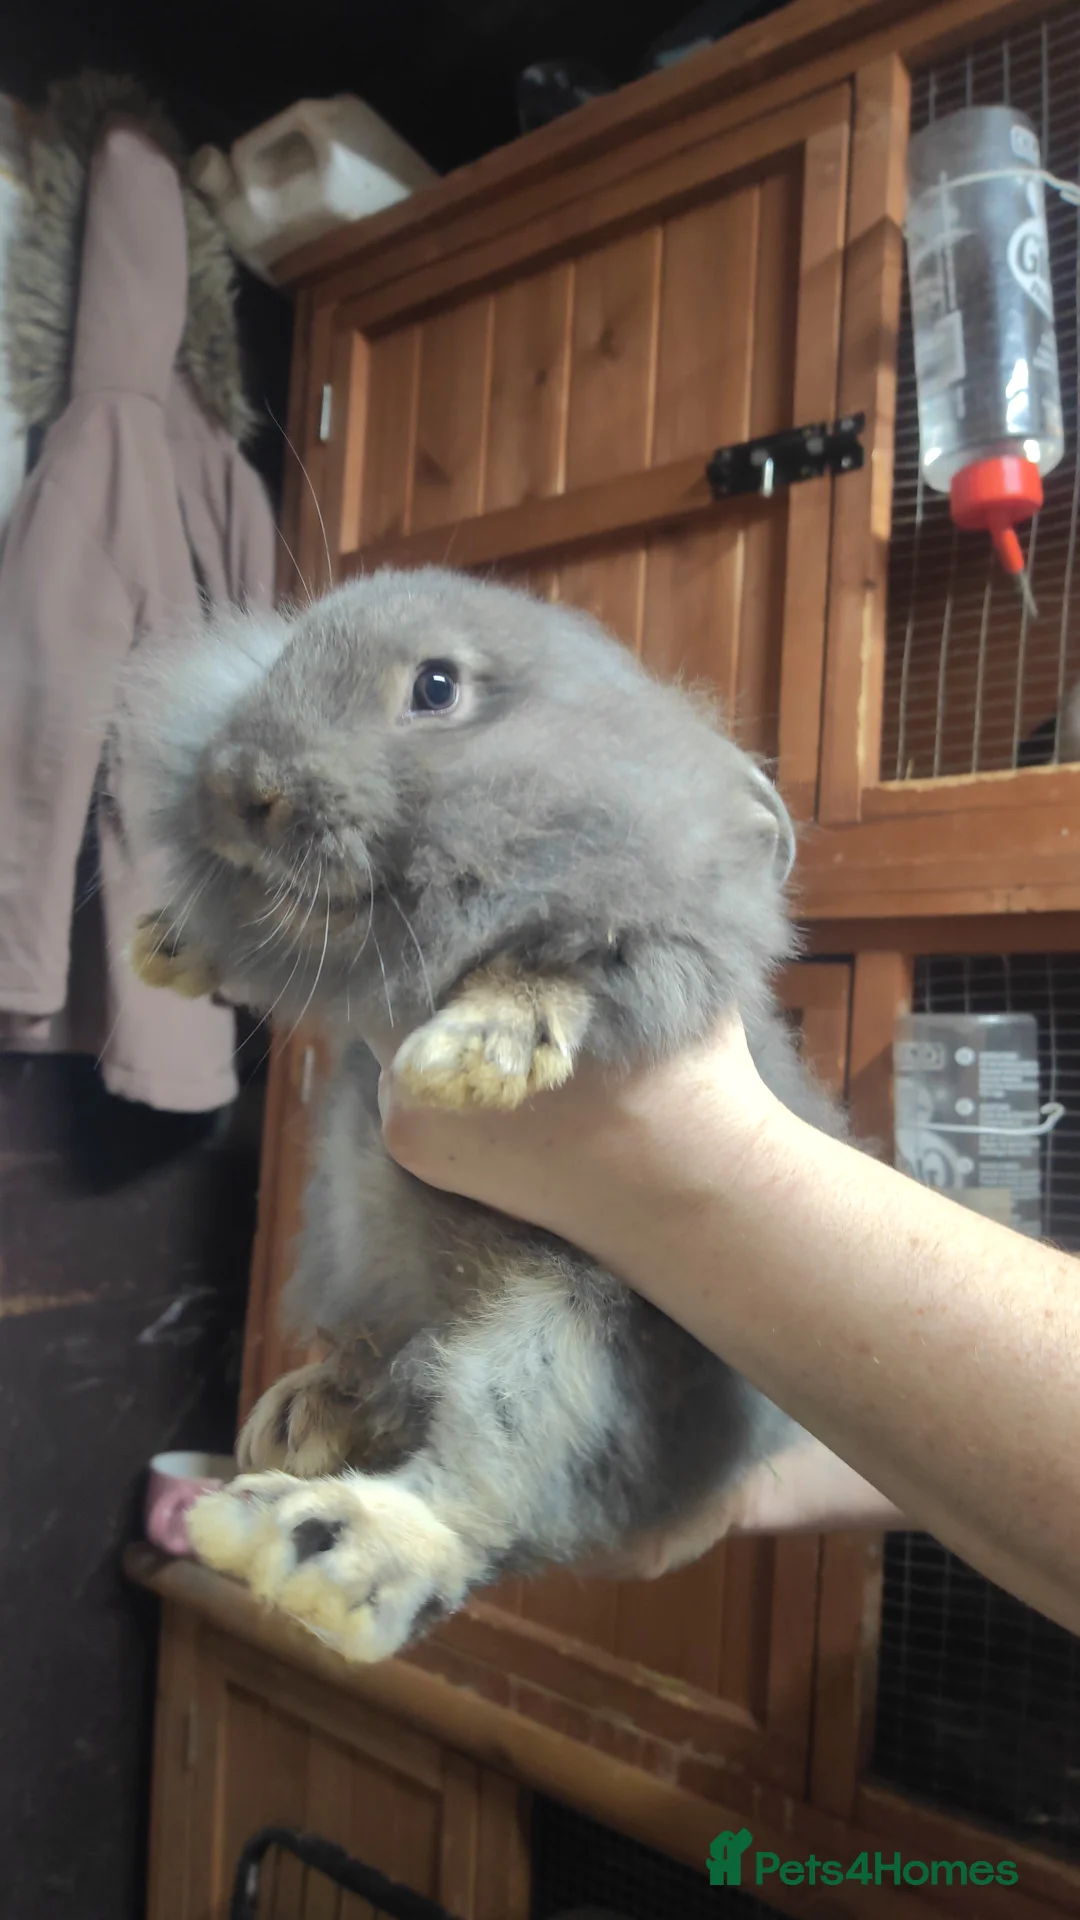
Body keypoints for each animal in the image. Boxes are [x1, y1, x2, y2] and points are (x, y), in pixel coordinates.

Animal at [119, 566, 846, 1664]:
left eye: (435, 688)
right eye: (284, 657)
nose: (242, 785)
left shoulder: (664, 941)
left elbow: (564, 966)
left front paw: (470, 1058)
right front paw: (164, 946)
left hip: (556, 1340)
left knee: (482, 1495)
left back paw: (314, 1545)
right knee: (393, 1383)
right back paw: (297, 1423)